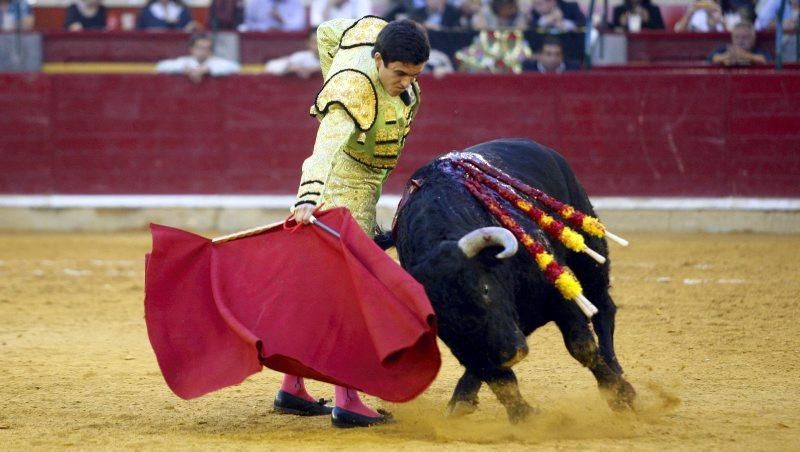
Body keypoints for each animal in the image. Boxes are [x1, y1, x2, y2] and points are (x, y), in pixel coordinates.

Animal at [388, 139, 636, 424]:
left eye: (485, 289)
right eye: (442, 318)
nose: (511, 354)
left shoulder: (556, 295)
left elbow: (581, 346)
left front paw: (619, 395)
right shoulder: (466, 342)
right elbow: (496, 376)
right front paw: (523, 416)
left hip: (588, 251)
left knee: (603, 307)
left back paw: (616, 370)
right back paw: (463, 397)